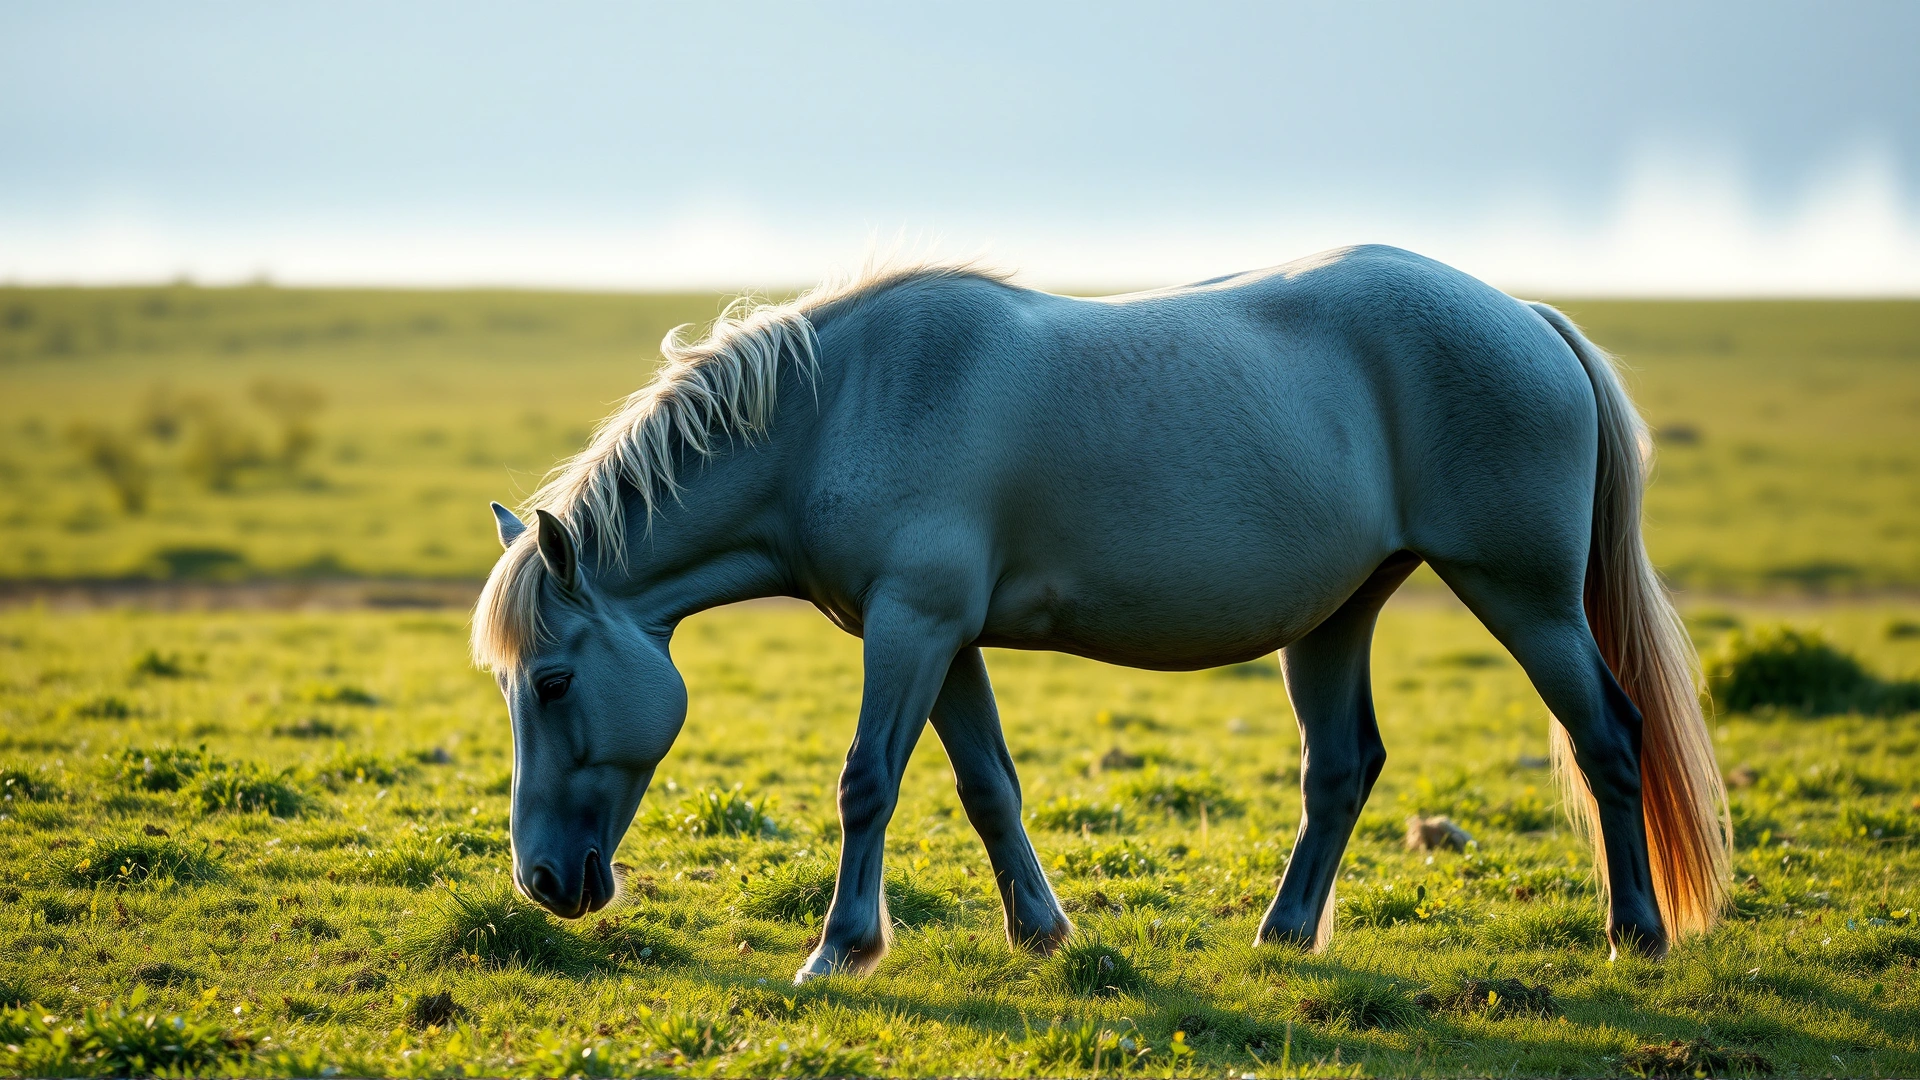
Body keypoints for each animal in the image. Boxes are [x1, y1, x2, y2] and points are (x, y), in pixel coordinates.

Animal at [472, 245, 1730, 984]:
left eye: (552, 681)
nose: (543, 881)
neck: (840, 409)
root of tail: (1527, 315)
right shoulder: (944, 640)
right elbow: (987, 787)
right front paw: (1041, 931)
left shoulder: (911, 628)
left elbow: (867, 783)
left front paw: (839, 950)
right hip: (1337, 619)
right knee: (1342, 771)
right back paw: (1282, 934)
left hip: (1528, 601)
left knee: (1609, 739)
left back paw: (1636, 934)